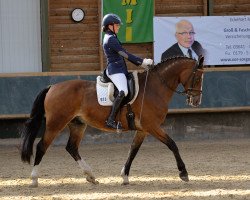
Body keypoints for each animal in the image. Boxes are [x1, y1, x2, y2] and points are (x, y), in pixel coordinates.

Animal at [20, 55, 205, 187]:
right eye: (197, 78)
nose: (196, 101)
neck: (155, 87)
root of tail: (52, 87)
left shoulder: (143, 129)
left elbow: (133, 150)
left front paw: (125, 176)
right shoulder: (152, 126)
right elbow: (172, 144)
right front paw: (183, 173)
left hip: (77, 124)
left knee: (71, 147)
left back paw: (91, 176)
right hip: (56, 123)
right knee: (42, 146)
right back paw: (34, 179)